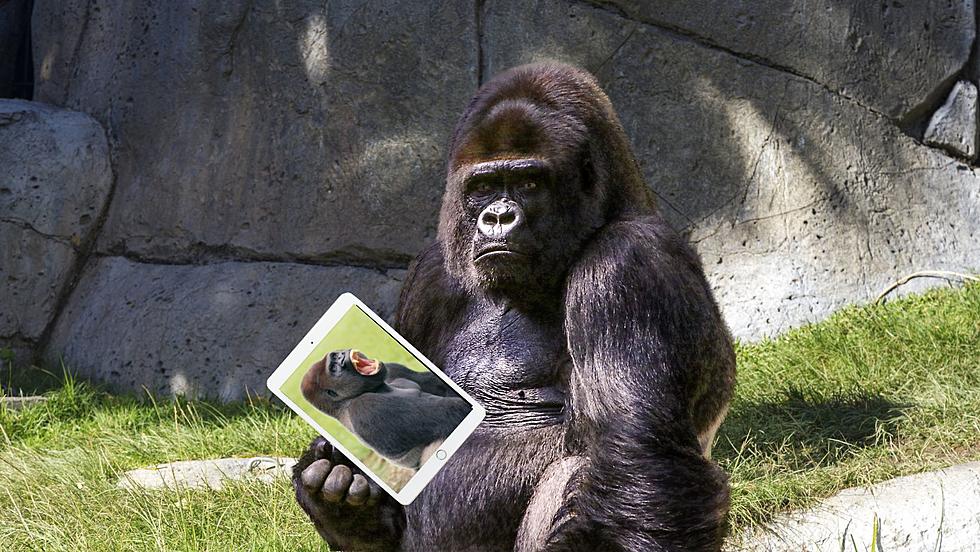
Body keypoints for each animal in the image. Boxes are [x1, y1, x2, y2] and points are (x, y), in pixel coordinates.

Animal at [298, 348, 470, 468]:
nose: (340, 355)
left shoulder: (392, 370)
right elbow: (455, 410)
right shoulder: (365, 406)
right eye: (333, 368)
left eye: (335, 356)